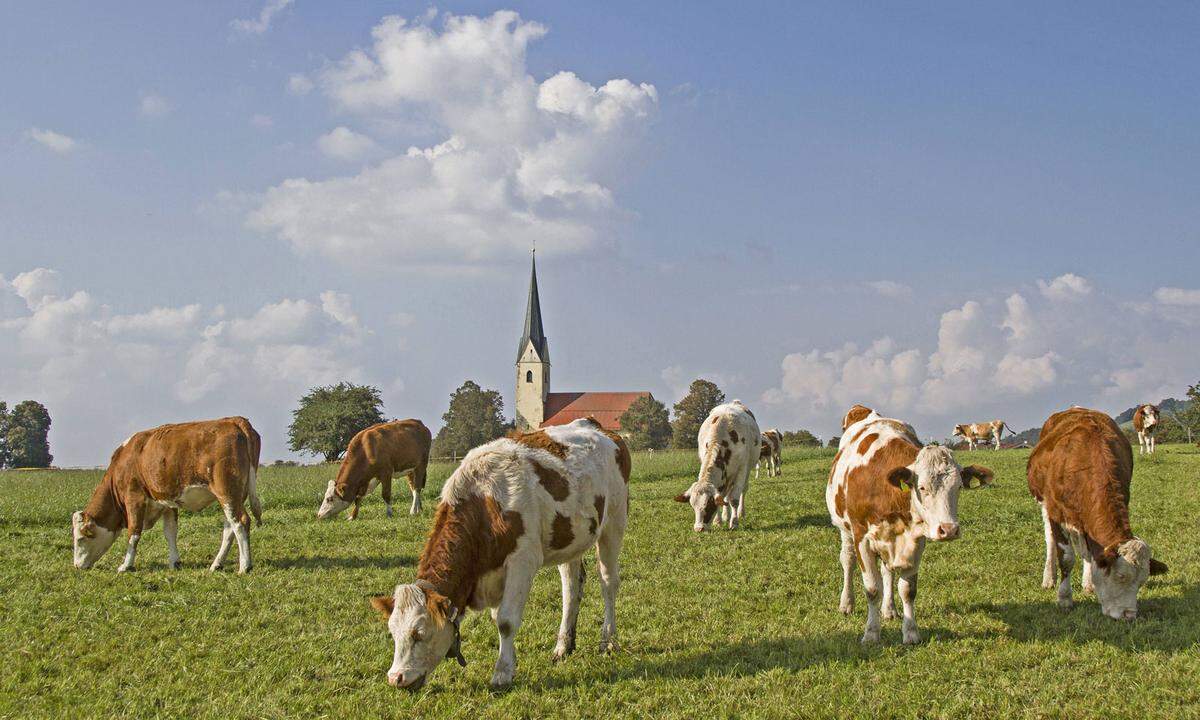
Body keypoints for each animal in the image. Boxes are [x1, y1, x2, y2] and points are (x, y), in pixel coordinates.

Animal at [71, 415, 261, 573]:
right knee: (229, 527)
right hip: (234, 496)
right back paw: (217, 564)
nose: (77, 566)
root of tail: (234, 420)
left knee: (240, 522)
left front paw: (126, 565)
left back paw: (245, 566)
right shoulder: (166, 502)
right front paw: (174, 562)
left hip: (227, 492)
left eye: (80, 539)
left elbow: (134, 533)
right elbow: (170, 532)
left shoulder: (134, 498)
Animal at [367, 420, 633, 691]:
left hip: (614, 521)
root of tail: (595, 425)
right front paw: (511, 663)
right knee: (571, 589)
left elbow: (506, 621)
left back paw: (608, 640)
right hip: (571, 540)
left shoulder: (522, 561)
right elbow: (497, 618)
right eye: (393, 633)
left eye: (419, 633)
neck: (485, 502)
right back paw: (563, 646)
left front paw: (502, 673)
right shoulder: (493, 571)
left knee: (608, 582)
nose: (395, 678)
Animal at [825, 408, 993, 643]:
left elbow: (907, 590)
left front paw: (911, 632)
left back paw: (889, 609)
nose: (949, 530)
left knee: (887, 571)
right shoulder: (862, 538)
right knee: (847, 560)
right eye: (921, 487)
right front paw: (871, 633)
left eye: (959, 487)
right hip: (845, 529)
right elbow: (872, 588)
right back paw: (846, 603)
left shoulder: (916, 539)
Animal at [1027, 405, 1166, 619]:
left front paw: (1090, 582)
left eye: (1142, 581)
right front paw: (1064, 598)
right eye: (1120, 576)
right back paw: (1049, 577)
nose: (1129, 615)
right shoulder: (1056, 512)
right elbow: (1066, 558)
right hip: (1044, 504)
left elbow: (1091, 552)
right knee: (1049, 539)